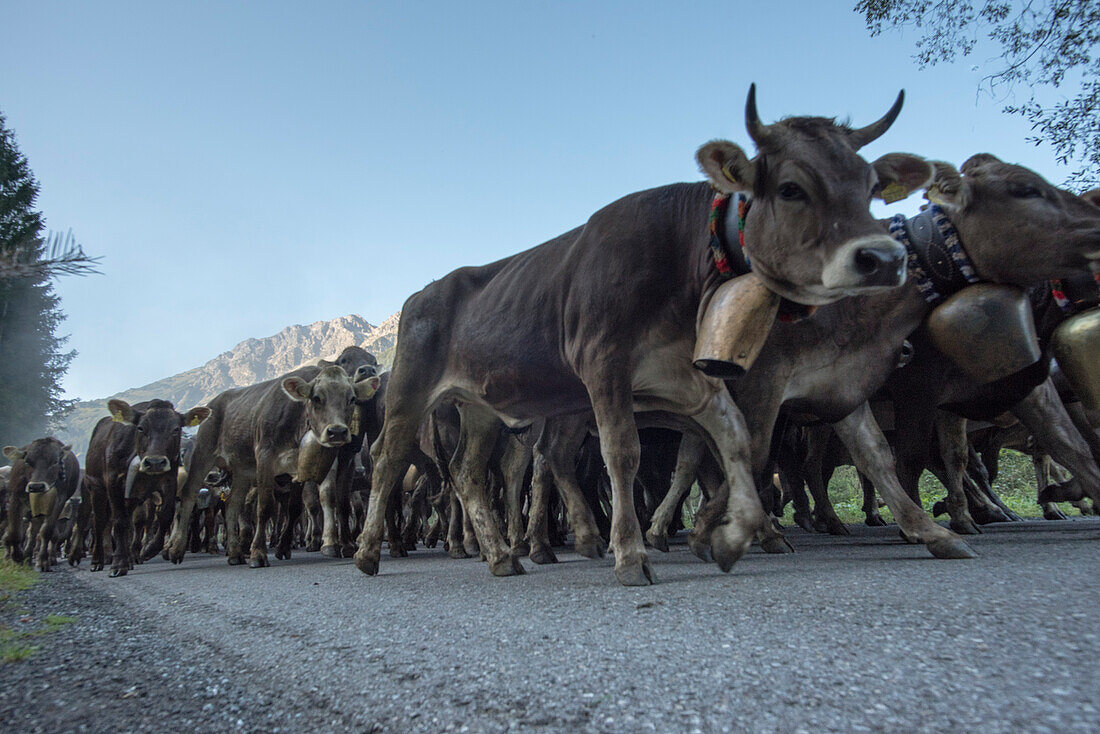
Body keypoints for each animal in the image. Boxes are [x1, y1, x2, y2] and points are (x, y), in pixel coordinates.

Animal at [1, 440, 80, 572]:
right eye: (27, 461)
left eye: (55, 462)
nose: (36, 487)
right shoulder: (15, 498)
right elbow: (14, 532)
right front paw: (16, 558)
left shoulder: (58, 502)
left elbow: (46, 532)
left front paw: (42, 561)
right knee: (31, 532)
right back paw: (26, 556)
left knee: (37, 532)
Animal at [354, 86, 928, 581]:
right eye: (790, 188)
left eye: (870, 188)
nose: (884, 258)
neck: (681, 262)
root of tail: (425, 291)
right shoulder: (603, 364)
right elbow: (623, 453)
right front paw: (631, 554)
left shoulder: (690, 379)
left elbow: (736, 444)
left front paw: (729, 537)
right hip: (410, 390)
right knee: (388, 460)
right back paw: (368, 552)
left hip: (478, 407)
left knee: (469, 473)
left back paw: (501, 556)